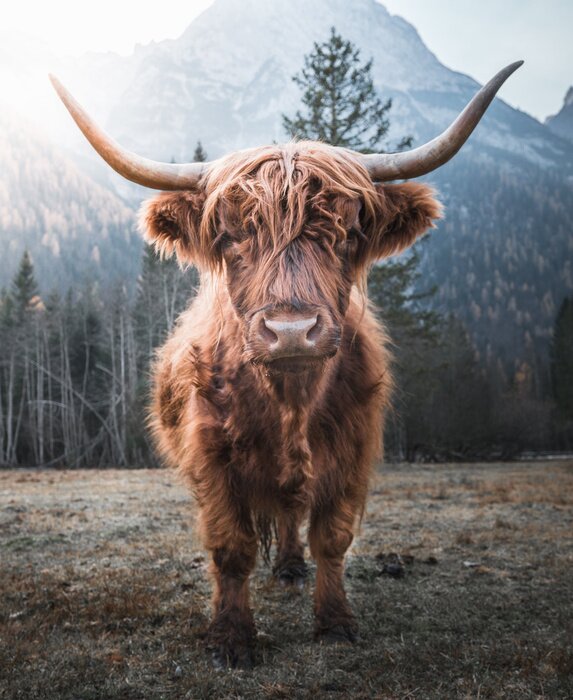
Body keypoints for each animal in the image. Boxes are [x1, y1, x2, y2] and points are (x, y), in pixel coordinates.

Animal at [51, 61, 522, 668]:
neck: (290, 402)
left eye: (348, 233)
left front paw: (336, 622)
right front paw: (231, 638)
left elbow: (332, 538)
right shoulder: (212, 456)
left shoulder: (351, 450)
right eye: (230, 235)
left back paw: (293, 567)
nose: (292, 331)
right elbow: (231, 547)